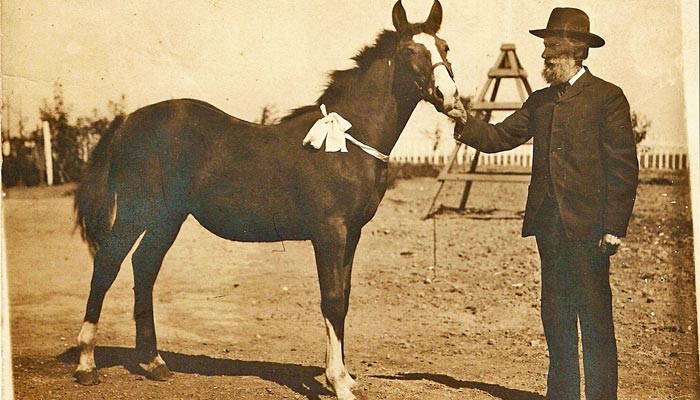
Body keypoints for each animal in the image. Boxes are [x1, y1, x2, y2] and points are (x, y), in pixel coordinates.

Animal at [75, 1, 460, 398]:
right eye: (410, 51)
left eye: (445, 47)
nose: (450, 98)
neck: (348, 142)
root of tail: (128, 121)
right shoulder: (329, 234)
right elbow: (332, 300)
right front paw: (339, 382)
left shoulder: (351, 235)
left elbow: (344, 297)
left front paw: (343, 375)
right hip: (135, 212)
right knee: (107, 265)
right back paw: (87, 364)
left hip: (167, 218)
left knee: (144, 266)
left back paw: (154, 363)